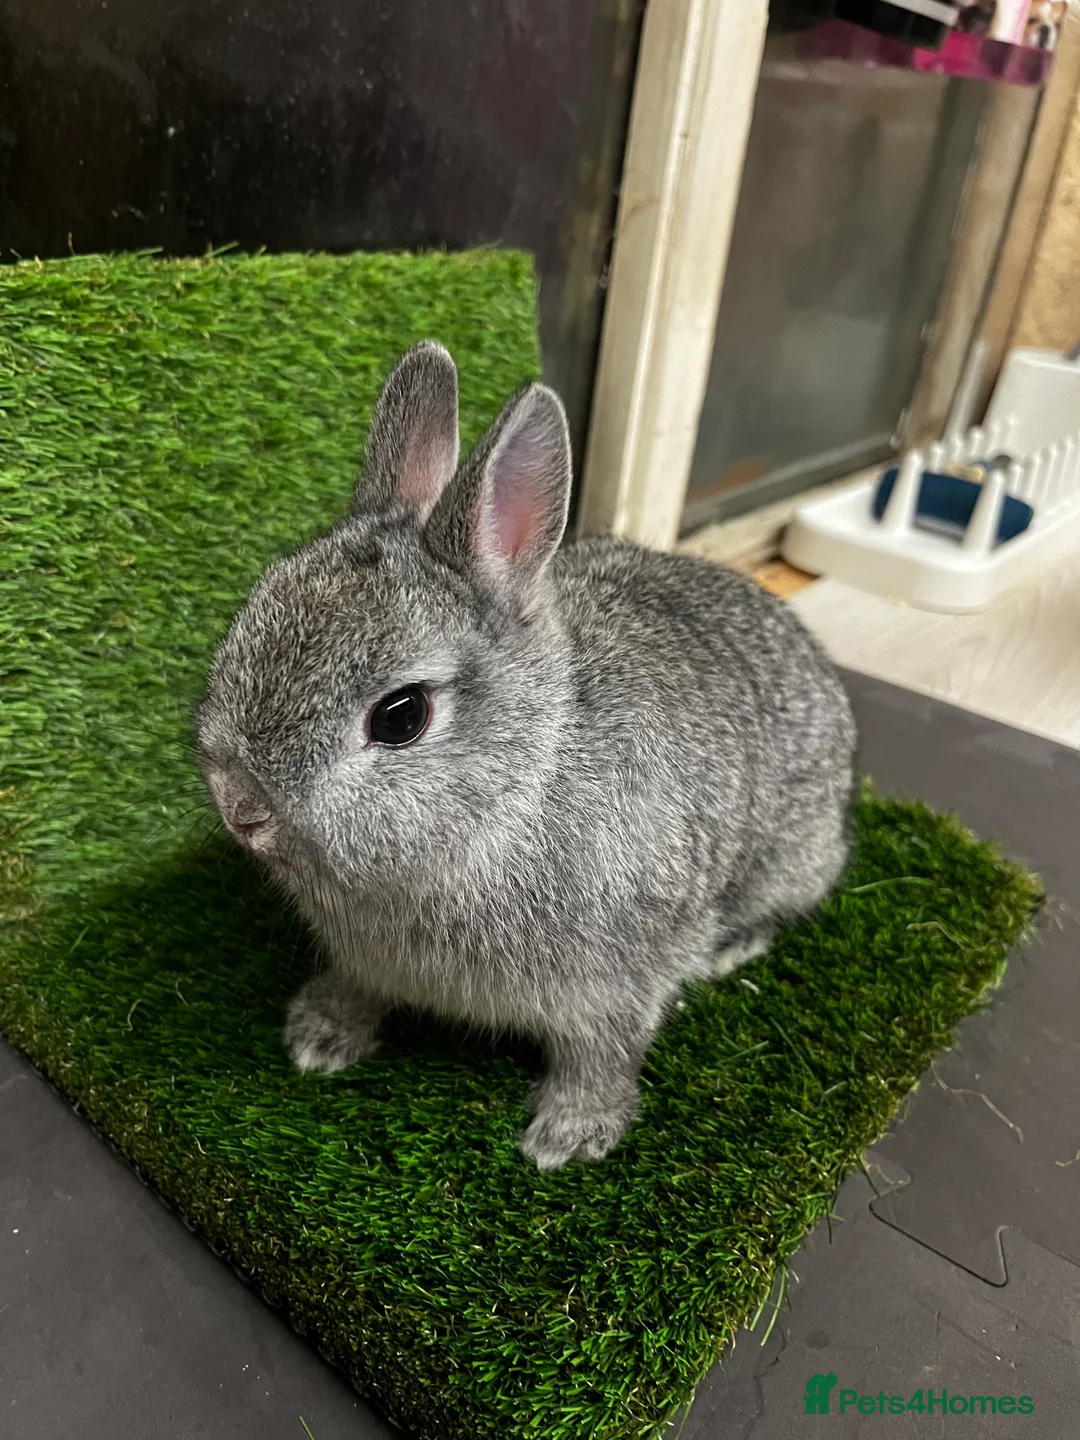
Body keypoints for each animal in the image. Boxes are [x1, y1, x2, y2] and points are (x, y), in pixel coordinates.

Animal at [196, 341, 856, 1171]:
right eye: (254, 611)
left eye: (401, 717)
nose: (241, 810)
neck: (514, 795)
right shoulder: (364, 956)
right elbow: (357, 987)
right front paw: (319, 1036)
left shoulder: (616, 982)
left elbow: (601, 1055)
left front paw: (569, 1138)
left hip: (790, 858)